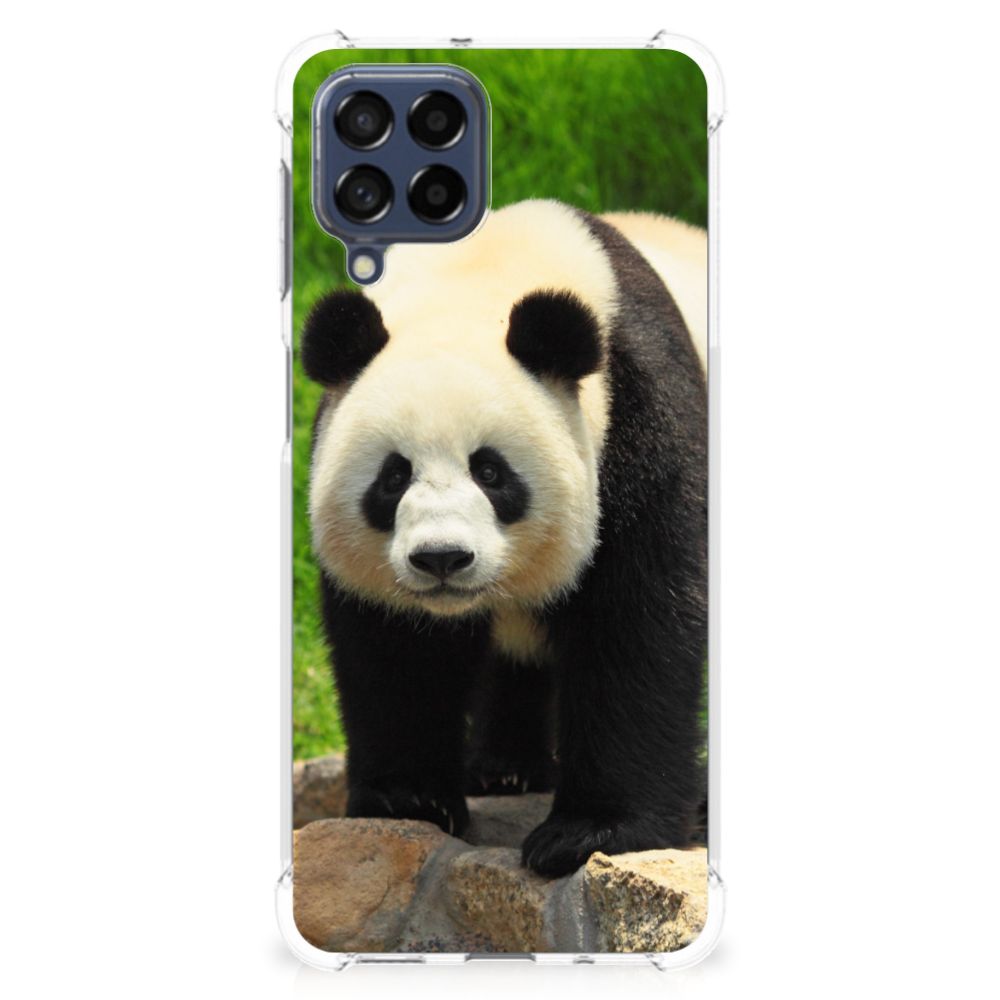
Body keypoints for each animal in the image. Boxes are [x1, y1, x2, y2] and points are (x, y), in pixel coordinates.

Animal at [302, 199, 707, 877]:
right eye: (393, 476)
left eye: (490, 472)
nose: (442, 558)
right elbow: (395, 649)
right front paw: (408, 800)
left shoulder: (642, 419)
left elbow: (639, 623)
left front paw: (589, 832)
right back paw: (504, 769)